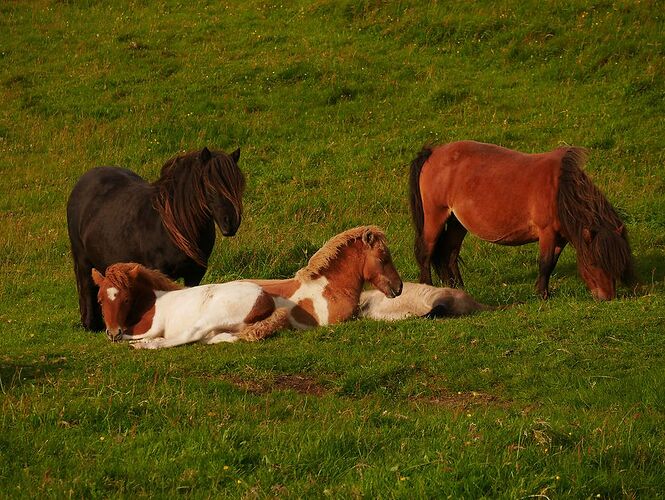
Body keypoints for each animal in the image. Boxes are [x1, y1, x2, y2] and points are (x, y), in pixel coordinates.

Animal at [67, 146, 246, 330]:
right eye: (211, 187)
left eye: (239, 185)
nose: (231, 222)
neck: (172, 227)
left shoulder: (195, 273)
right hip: (82, 258)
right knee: (86, 285)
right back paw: (91, 324)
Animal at [410, 139, 632, 298]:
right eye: (593, 262)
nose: (607, 297)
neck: (559, 190)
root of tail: (433, 152)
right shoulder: (547, 233)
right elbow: (545, 263)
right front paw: (542, 295)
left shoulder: (560, 238)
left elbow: (551, 264)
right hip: (436, 216)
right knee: (426, 252)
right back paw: (427, 286)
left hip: (457, 223)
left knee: (449, 253)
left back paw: (459, 289)